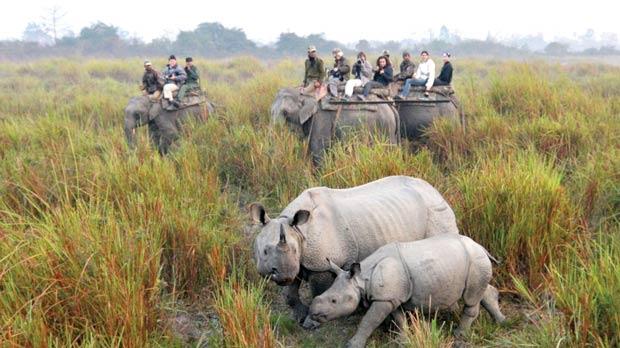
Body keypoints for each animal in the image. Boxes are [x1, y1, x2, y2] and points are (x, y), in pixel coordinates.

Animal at [249, 177, 458, 324]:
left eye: (293, 249)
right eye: (265, 252)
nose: (284, 277)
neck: (299, 231)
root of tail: (435, 189)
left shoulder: (320, 263)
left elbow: (318, 292)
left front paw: (312, 322)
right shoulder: (300, 261)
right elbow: (291, 294)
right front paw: (300, 317)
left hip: (436, 211)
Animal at [270, 89, 398, 167]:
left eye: (285, 113)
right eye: (271, 112)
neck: (306, 94)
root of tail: (391, 106)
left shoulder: (321, 120)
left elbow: (318, 151)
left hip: (385, 127)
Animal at [304, 234, 504, 348]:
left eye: (334, 301)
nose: (313, 313)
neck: (362, 279)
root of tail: (481, 247)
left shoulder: (384, 299)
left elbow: (369, 321)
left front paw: (352, 345)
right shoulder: (392, 297)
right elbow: (399, 319)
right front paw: (402, 341)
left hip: (475, 260)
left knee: (471, 297)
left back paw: (459, 335)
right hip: (474, 261)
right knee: (479, 291)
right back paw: (502, 321)